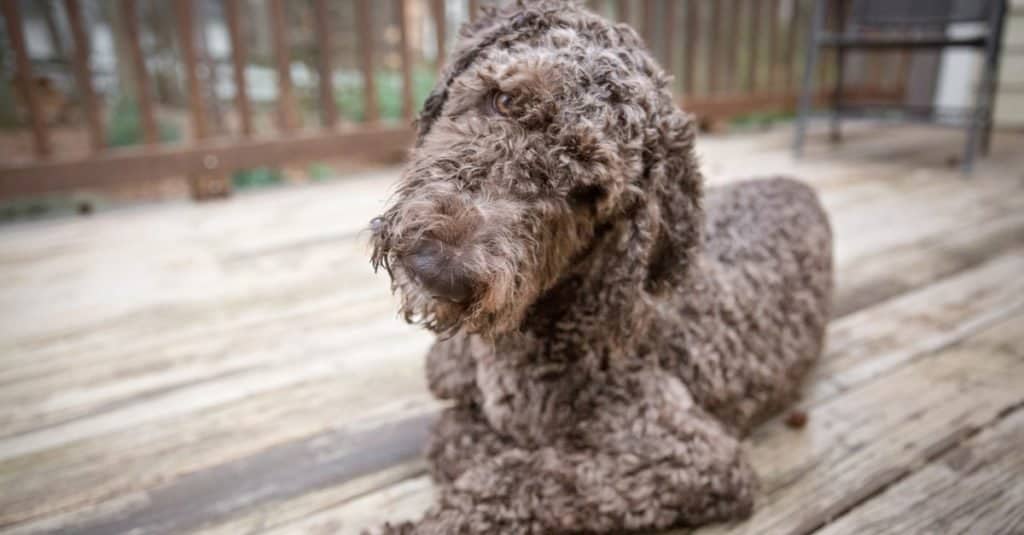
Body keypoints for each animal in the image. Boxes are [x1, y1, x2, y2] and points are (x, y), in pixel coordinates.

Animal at [368, 2, 831, 528]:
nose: (440, 269)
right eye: (504, 100)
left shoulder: (687, 453)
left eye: (589, 193)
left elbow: (526, 477)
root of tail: (799, 185)